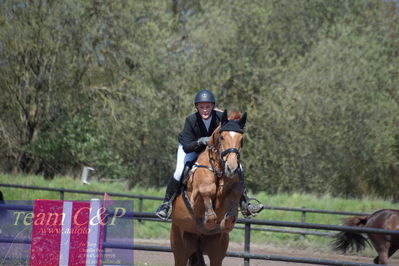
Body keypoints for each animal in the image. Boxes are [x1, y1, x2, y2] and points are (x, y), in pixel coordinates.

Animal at [171, 109, 247, 266]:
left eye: (241, 139)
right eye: (222, 137)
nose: (231, 169)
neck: (218, 168)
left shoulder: (233, 190)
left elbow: (235, 194)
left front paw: (226, 222)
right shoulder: (195, 197)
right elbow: (206, 194)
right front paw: (209, 221)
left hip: (217, 250)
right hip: (180, 245)